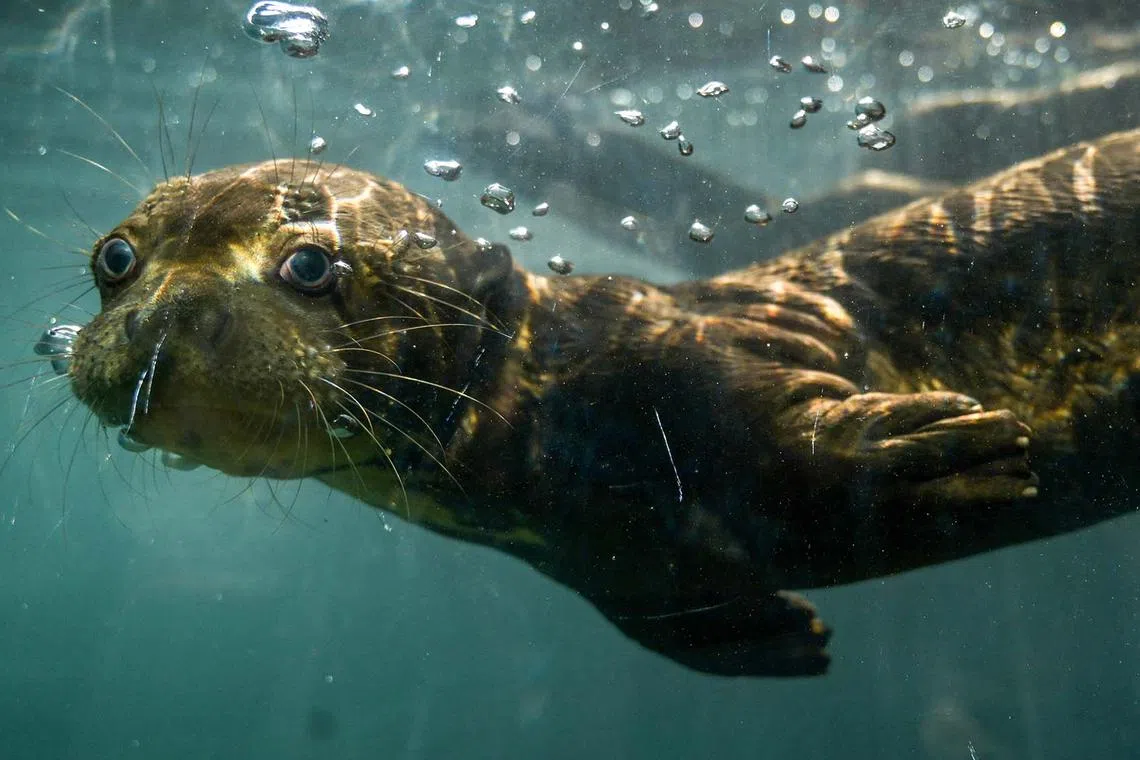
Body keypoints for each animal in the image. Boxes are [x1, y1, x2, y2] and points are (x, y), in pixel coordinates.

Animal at [64, 127, 1140, 677]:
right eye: (116, 258)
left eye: (309, 264)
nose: (172, 309)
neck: (550, 422)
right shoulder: (614, 563)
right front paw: (778, 635)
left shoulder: (719, 345)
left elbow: (793, 426)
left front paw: (936, 454)